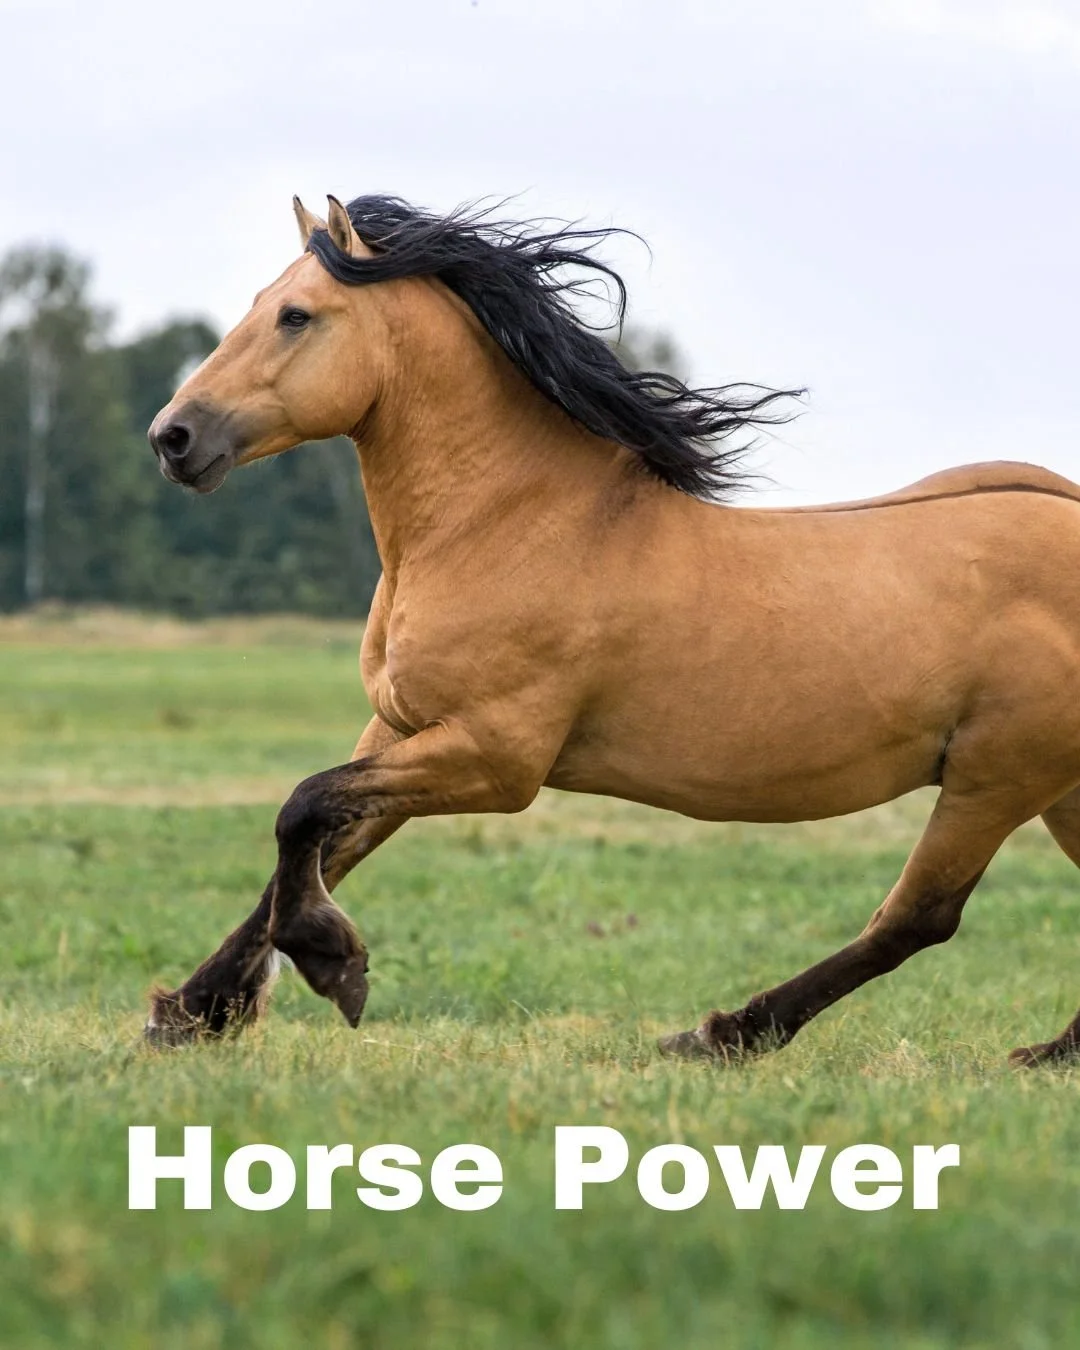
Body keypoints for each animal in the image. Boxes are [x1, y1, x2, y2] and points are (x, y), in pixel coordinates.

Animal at [145, 192, 1080, 1068]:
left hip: (995, 777)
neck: (505, 523)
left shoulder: (496, 757)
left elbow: (304, 808)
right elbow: (320, 842)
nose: (172, 438)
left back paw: (723, 1034)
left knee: (916, 918)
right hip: (1054, 787)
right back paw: (1049, 1053)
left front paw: (331, 964)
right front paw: (194, 1011)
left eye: (296, 316)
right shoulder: (404, 730)